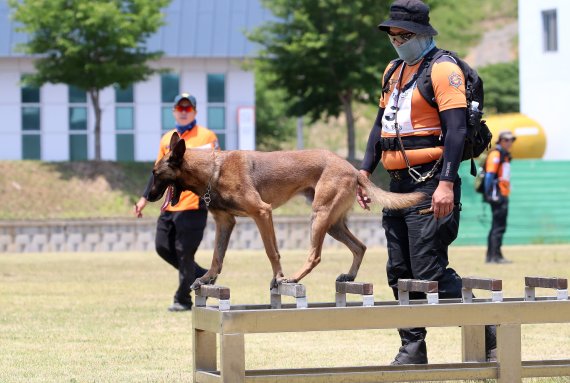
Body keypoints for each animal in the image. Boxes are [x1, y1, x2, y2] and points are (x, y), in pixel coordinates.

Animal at [146, 134, 422, 290]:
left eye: (155, 173)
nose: (147, 196)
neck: (214, 170)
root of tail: (352, 169)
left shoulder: (262, 213)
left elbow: (272, 252)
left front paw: (277, 277)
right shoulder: (225, 222)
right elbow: (217, 256)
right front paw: (207, 279)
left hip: (319, 216)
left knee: (315, 256)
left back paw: (293, 279)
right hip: (333, 224)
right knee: (360, 246)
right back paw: (350, 275)